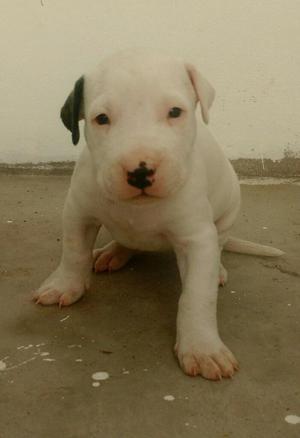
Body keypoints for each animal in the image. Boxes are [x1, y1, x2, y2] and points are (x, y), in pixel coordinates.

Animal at [33, 50, 284, 380]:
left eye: (175, 112)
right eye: (102, 119)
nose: (140, 172)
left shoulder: (196, 239)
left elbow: (196, 295)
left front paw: (202, 348)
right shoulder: (78, 212)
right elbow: (74, 253)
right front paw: (64, 286)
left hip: (229, 209)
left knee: (219, 244)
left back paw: (216, 268)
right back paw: (113, 252)